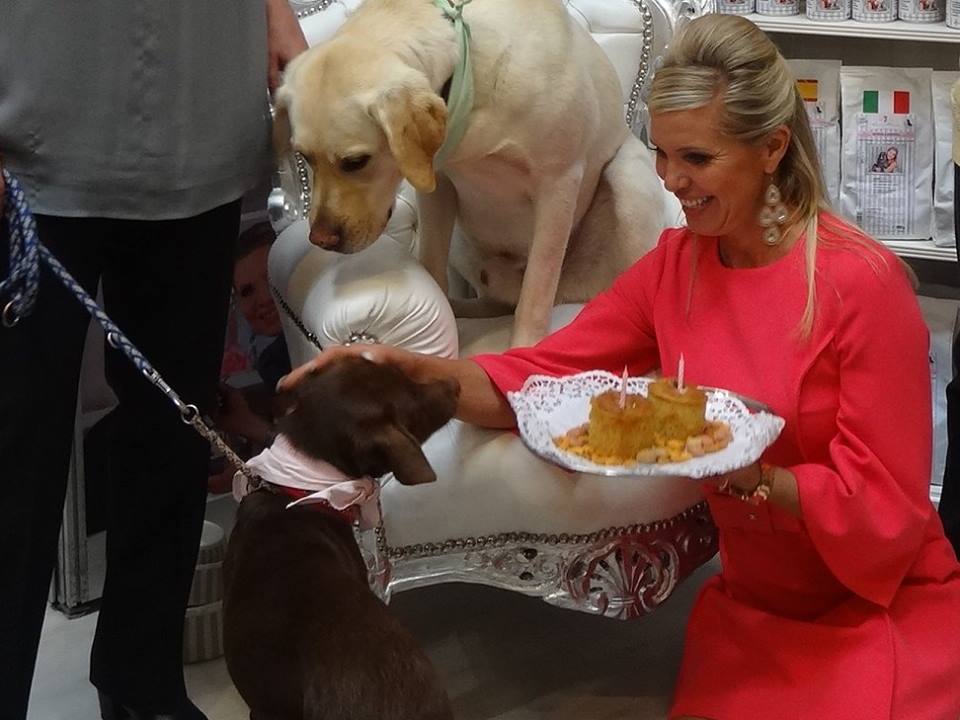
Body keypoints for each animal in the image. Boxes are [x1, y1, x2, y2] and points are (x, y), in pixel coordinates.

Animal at [273, 0, 667, 347]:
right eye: (303, 157)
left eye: (356, 161)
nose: (320, 240)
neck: (468, 79)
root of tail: (573, 294)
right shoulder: (436, 190)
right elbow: (431, 268)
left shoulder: (558, 184)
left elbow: (537, 291)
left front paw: (524, 347)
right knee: (496, 299)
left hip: (628, 175)